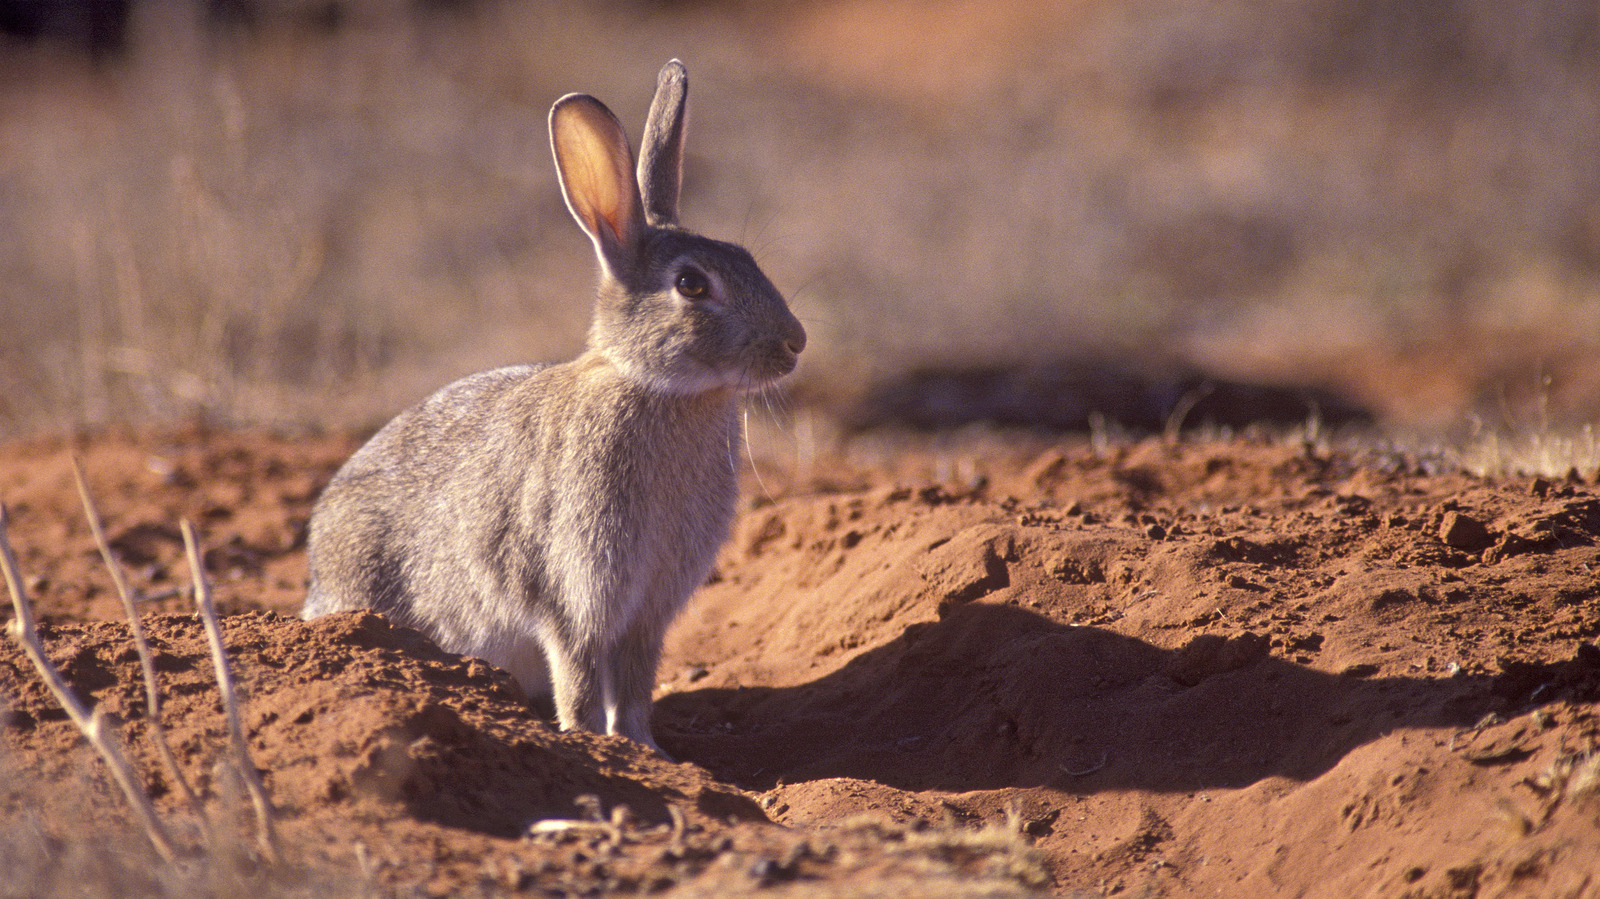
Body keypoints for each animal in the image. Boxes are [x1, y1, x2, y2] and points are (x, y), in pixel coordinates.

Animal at [300, 59, 800, 751]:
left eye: (749, 259)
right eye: (692, 285)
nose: (795, 344)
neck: (652, 386)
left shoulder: (647, 609)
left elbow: (635, 684)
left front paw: (646, 749)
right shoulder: (573, 591)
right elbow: (580, 676)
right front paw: (591, 742)